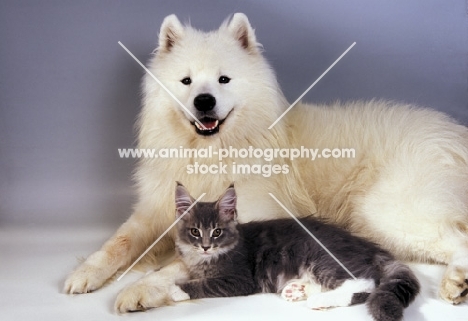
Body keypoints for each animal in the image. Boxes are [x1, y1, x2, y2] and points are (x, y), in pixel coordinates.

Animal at [174, 182, 418, 320]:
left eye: (217, 232)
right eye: (195, 231)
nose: (205, 246)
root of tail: (367, 246)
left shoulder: (239, 279)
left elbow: (207, 284)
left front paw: (177, 290)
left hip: (323, 258)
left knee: (365, 282)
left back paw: (317, 300)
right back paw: (297, 290)